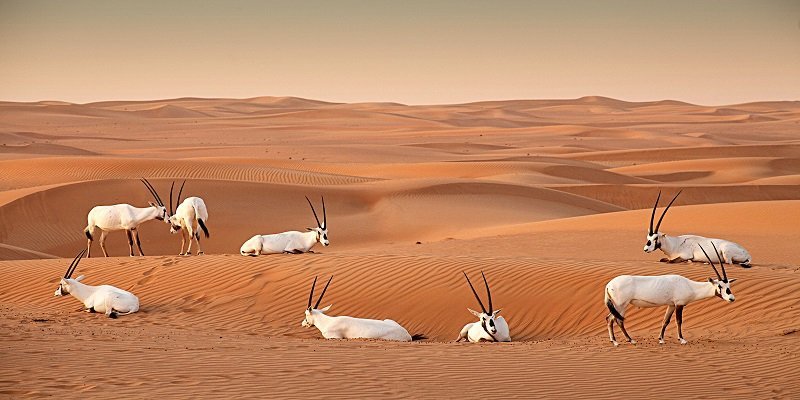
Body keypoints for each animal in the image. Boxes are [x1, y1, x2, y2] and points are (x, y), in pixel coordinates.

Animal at [605, 242, 737, 346]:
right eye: (720, 286)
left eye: (728, 286)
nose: (731, 298)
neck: (689, 285)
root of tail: (609, 284)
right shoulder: (679, 304)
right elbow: (679, 321)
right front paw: (682, 339)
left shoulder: (671, 305)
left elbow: (665, 321)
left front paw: (661, 339)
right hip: (621, 305)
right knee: (615, 319)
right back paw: (625, 341)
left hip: (618, 305)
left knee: (610, 319)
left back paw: (615, 340)